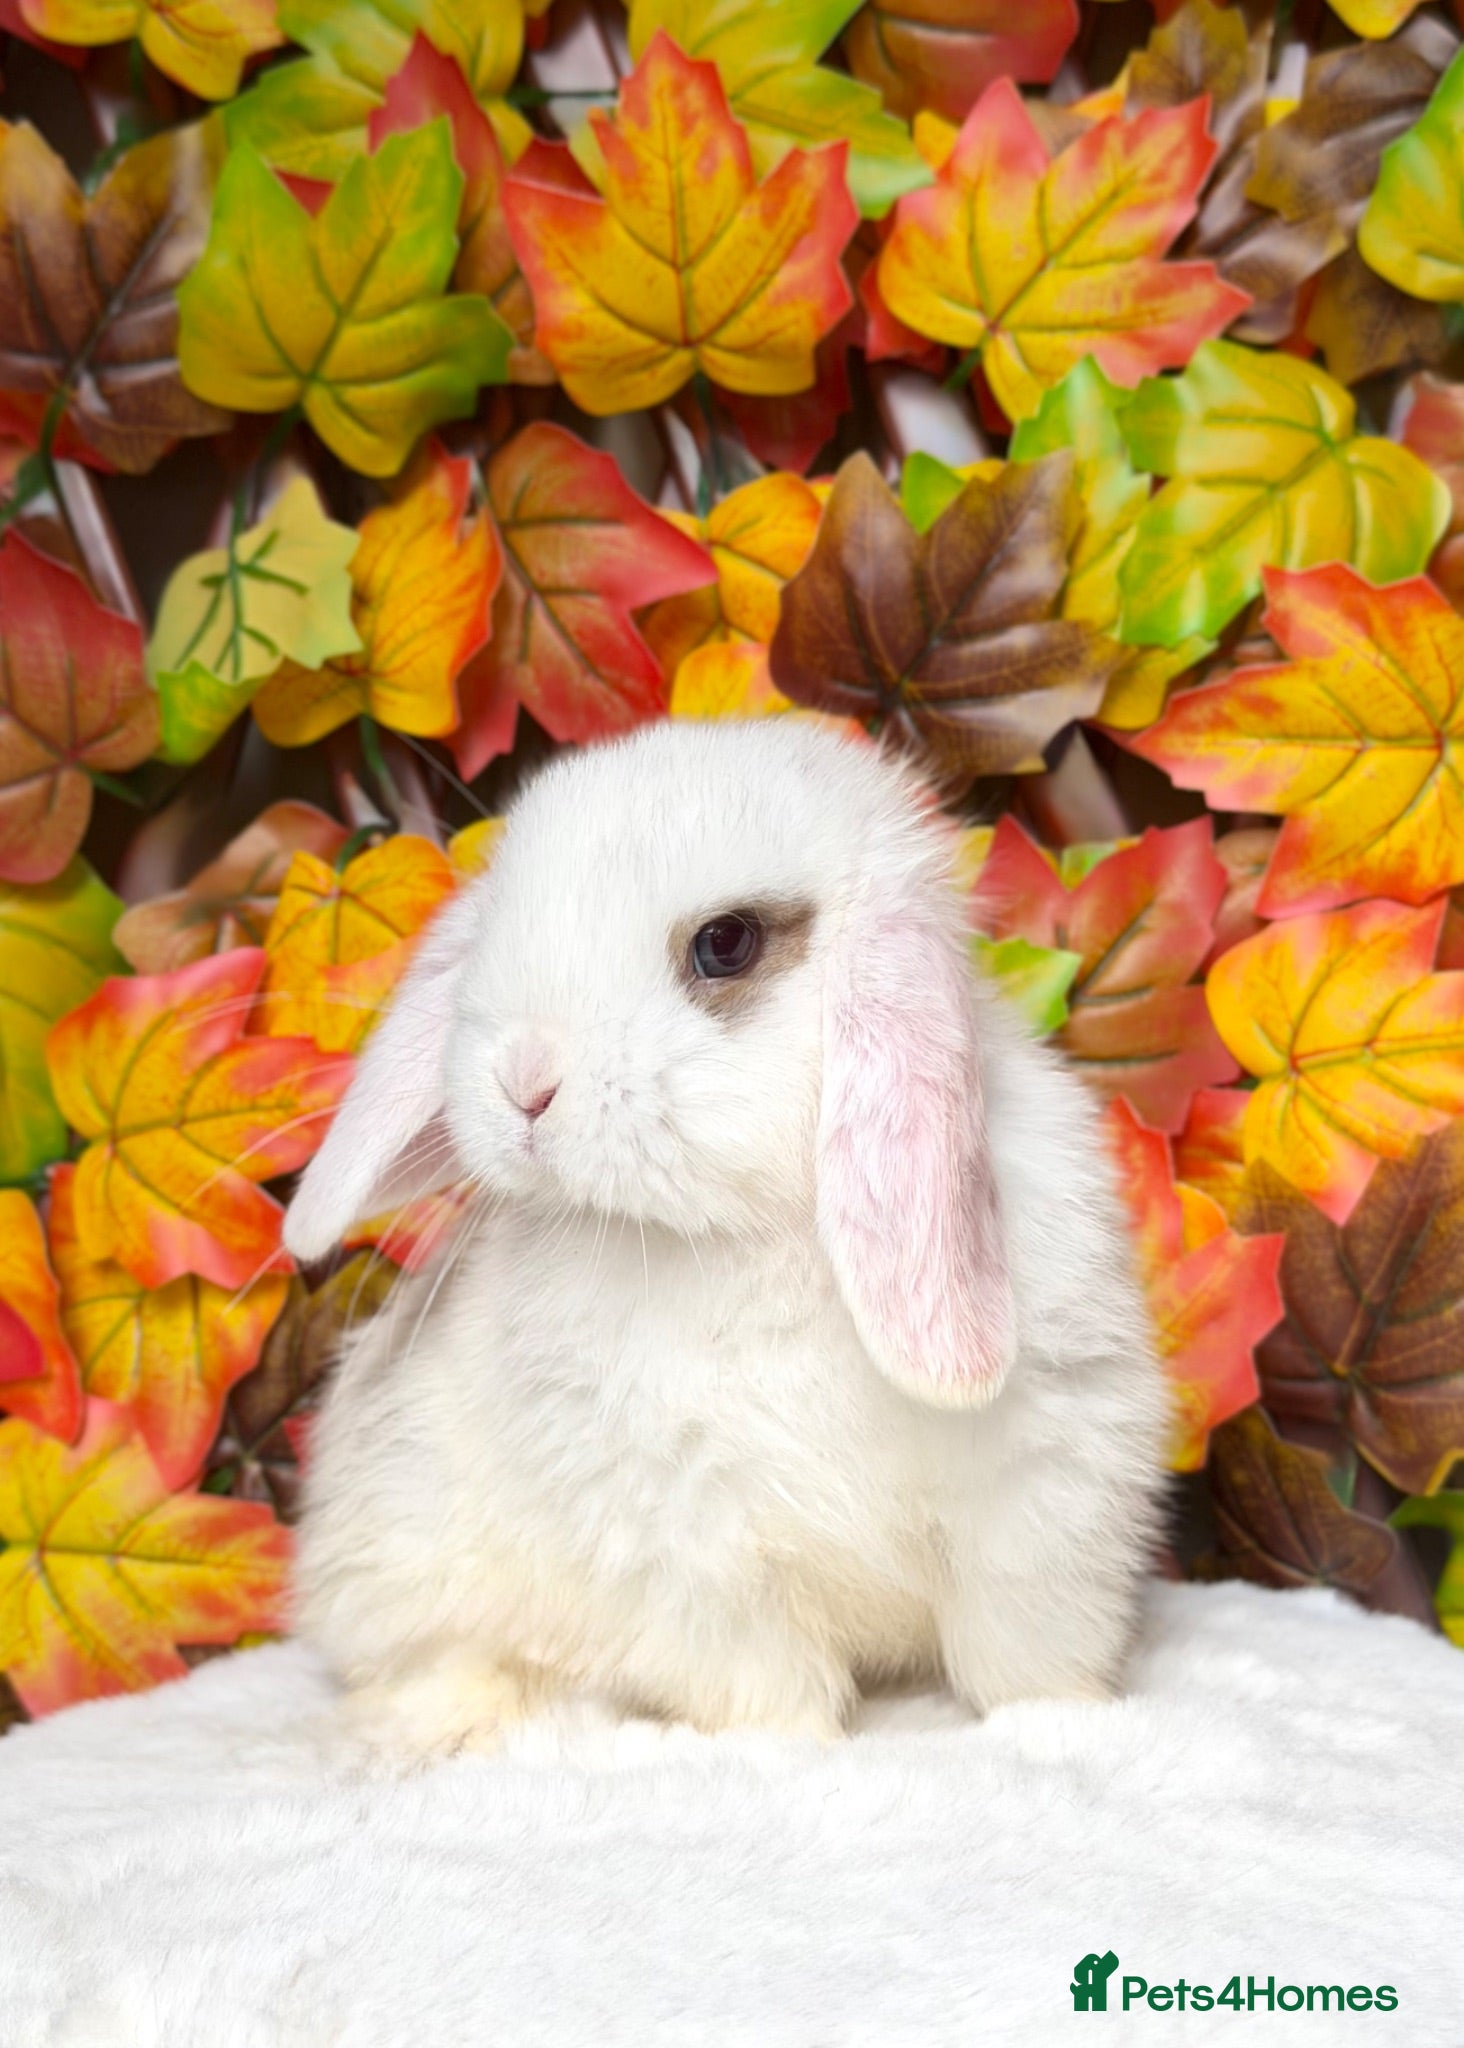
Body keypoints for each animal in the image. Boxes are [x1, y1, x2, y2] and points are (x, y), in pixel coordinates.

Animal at [284, 718, 1170, 1758]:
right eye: (492, 934)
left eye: (726, 944)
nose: (524, 1083)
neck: (759, 1234)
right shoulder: (691, 1555)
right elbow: (768, 1685)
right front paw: (795, 1752)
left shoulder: (1042, 1499)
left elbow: (1022, 1658)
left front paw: (1067, 1728)